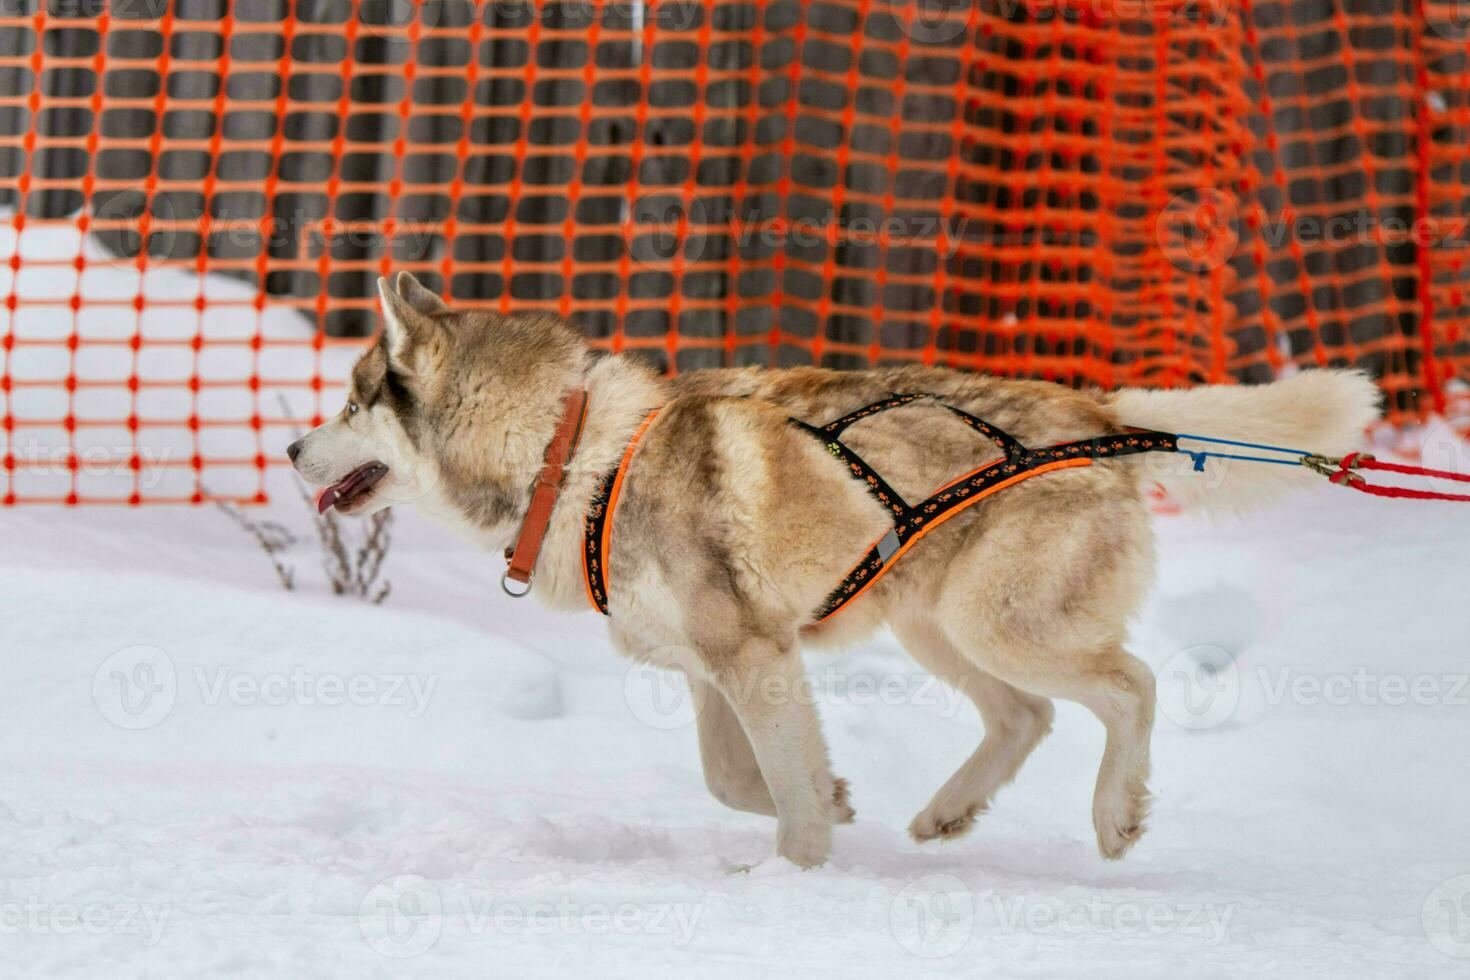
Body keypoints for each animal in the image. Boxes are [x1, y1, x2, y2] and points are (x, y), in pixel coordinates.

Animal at [286, 271, 1375, 869]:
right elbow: (737, 776)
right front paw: (838, 800)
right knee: (1027, 716)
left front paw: (793, 875)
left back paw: (1115, 814)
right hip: (934, 625)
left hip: (996, 622)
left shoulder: (752, 657)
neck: (573, 453)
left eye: (348, 403)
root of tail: (1100, 411)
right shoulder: (719, 667)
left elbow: (781, 795)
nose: (293, 450)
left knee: (1132, 685)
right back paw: (947, 809)